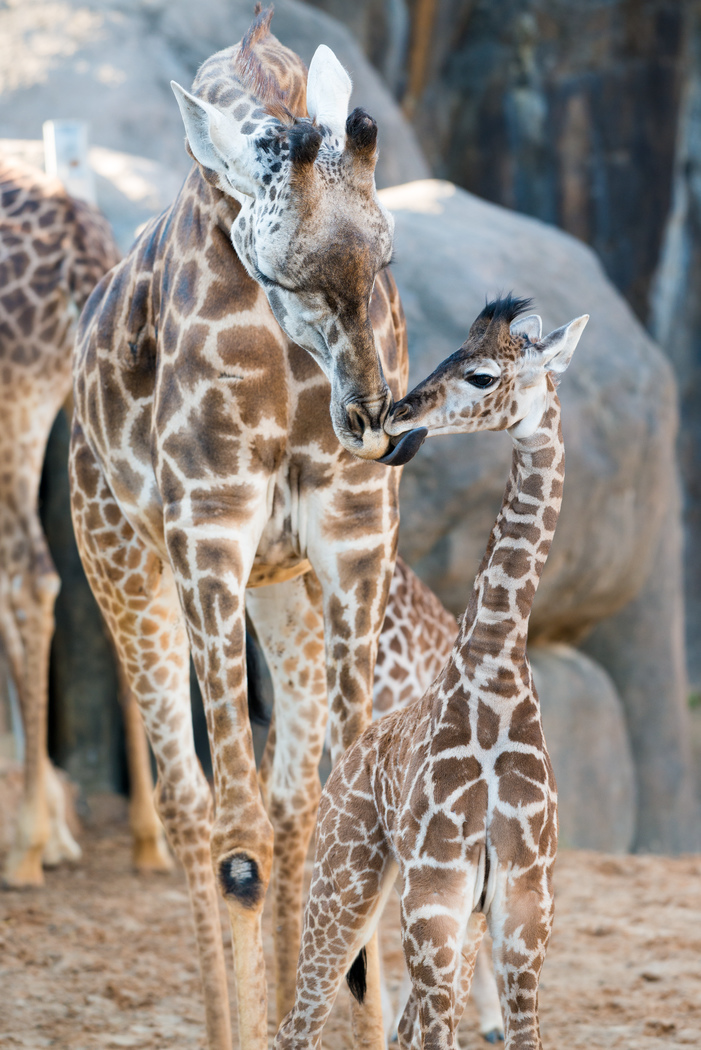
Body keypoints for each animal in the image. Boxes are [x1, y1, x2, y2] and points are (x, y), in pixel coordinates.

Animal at [69, 8, 413, 1050]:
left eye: (385, 256)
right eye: (280, 275)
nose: (373, 420)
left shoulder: (351, 537)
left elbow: (351, 802)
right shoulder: (209, 532)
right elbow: (236, 836)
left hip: (284, 592)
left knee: (294, 800)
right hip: (122, 560)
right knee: (192, 807)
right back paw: (235, 1024)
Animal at [272, 296, 587, 1050]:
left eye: (480, 375)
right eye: (449, 352)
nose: (397, 411)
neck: (495, 672)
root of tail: (354, 749)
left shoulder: (524, 911)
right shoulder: (436, 897)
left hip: (446, 917)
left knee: (394, 1025)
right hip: (350, 874)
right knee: (300, 1020)